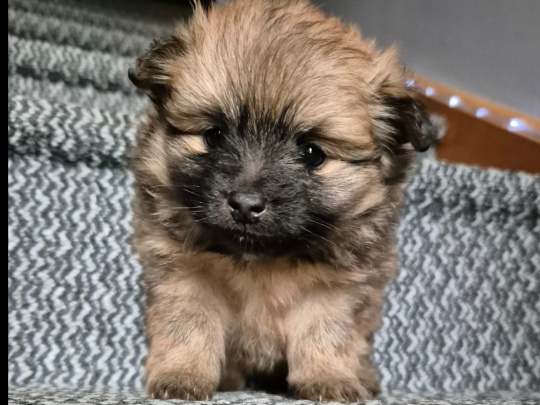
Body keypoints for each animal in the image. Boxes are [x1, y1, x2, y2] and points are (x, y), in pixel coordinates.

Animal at [129, 0, 436, 400]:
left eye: (312, 153)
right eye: (214, 135)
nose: (245, 205)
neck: (262, 258)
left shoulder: (335, 287)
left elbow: (324, 333)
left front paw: (328, 378)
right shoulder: (183, 272)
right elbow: (189, 324)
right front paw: (182, 374)